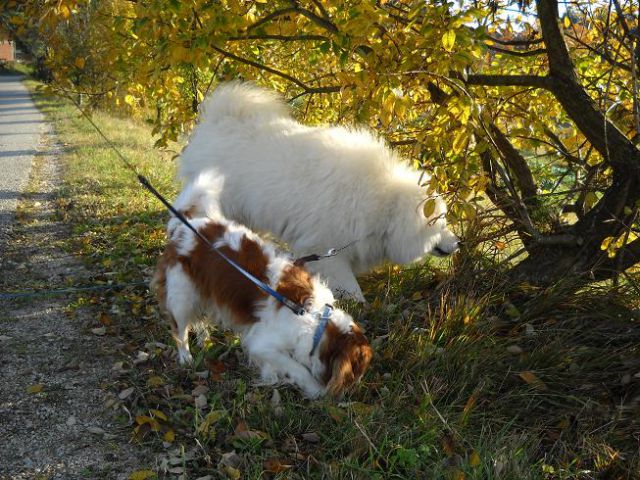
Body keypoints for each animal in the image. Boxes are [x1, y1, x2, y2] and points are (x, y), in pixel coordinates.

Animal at [152, 173, 372, 398]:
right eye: (356, 372)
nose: (354, 388)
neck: (317, 320)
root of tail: (184, 225)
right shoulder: (263, 344)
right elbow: (296, 368)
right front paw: (314, 389)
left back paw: (204, 339)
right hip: (181, 296)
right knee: (180, 330)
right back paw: (186, 357)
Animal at [180, 82, 460, 300]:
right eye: (441, 222)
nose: (458, 242)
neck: (383, 203)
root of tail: (220, 120)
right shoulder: (326, 248)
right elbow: (349, 287)